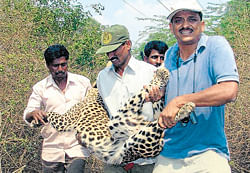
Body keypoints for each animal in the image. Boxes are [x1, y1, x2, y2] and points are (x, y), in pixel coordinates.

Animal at [31, 66, 195, 165]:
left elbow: (50, 113)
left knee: (149, 95)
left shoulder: (65, 120)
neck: (93, 92)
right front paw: (35, 120)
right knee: (160, 117)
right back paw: (183, 109)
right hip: (135, 134)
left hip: (121, 121)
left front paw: (37, 117)